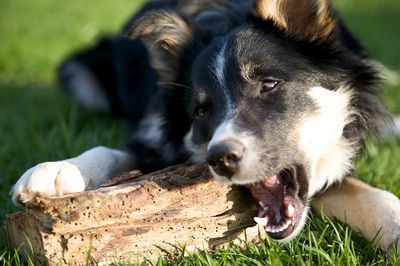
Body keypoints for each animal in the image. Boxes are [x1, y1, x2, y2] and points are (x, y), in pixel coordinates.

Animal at [10, 0, 398, 254]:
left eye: (269, 84)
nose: (221, 158)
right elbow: (112, 150)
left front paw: (392, 220)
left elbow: (360, 188)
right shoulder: (155, 134)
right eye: (200, 111)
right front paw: (55, 171)